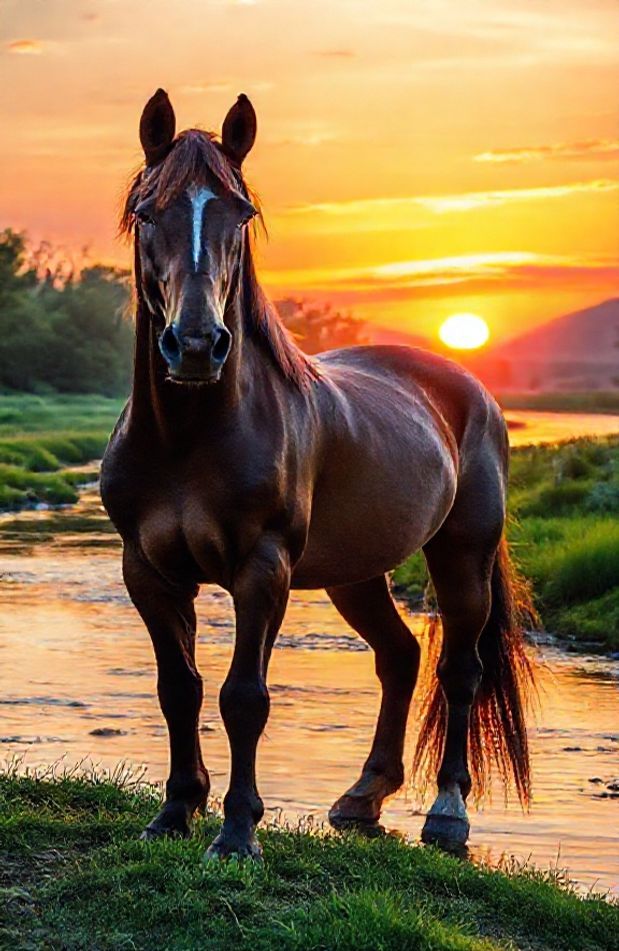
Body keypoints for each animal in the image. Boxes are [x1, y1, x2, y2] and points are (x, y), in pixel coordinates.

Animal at [101, 88, 535, 860]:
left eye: (240, 213)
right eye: (149, 211)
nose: (196, 345)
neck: (187, 439)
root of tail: (467, 386)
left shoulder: (262, 567)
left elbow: (244, 696)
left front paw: (237, 833)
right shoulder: (147, 569)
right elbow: (178, 687)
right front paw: (175, 811)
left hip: (462, 557)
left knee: (459, 669)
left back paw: (447, 815)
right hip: (356, 573)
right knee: (398, 656)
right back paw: (362, 797)